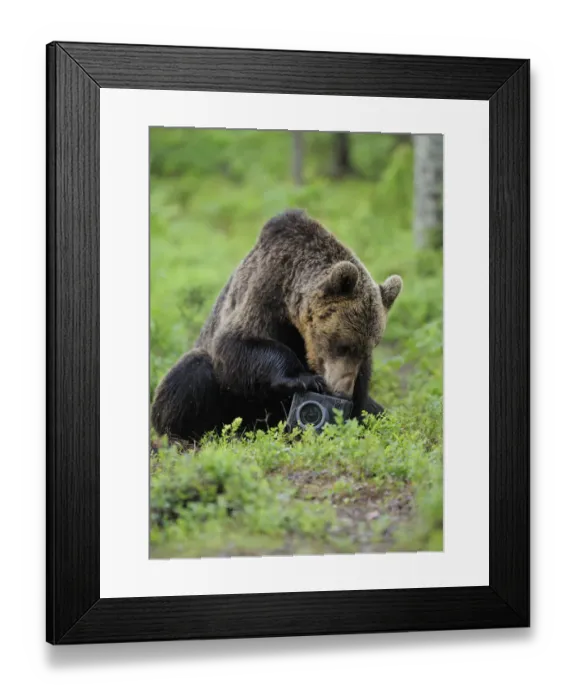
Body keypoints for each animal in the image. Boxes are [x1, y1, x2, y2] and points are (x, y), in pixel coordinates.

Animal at [151, 209, 403, 444]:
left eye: (366, 350)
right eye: (343, 345)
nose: (342, 391)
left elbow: (366, 400)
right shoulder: (264, 293)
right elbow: (237, 343)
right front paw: (304, 378)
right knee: (191, 372)